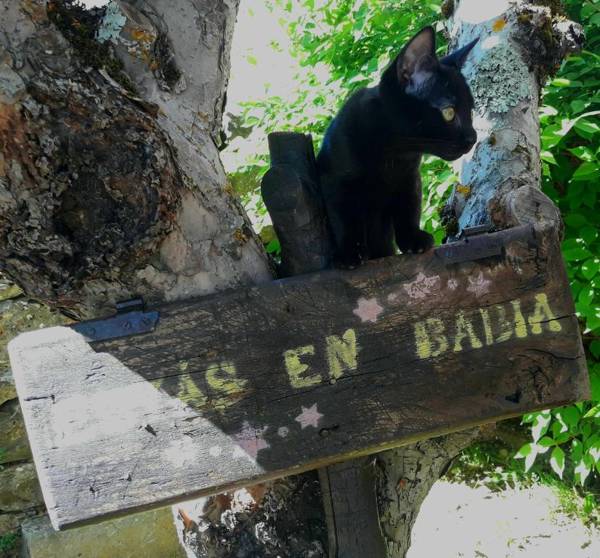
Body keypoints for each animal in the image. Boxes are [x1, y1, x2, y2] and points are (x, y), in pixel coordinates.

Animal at [318, 27, 478, 268]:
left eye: (471, 111)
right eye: (449, 112)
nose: (473, 138)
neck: (395, 153)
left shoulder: (409, 178)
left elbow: (408, 209)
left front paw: (413, 239)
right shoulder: (335, 179)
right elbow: (344, 217)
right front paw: (349, 253)